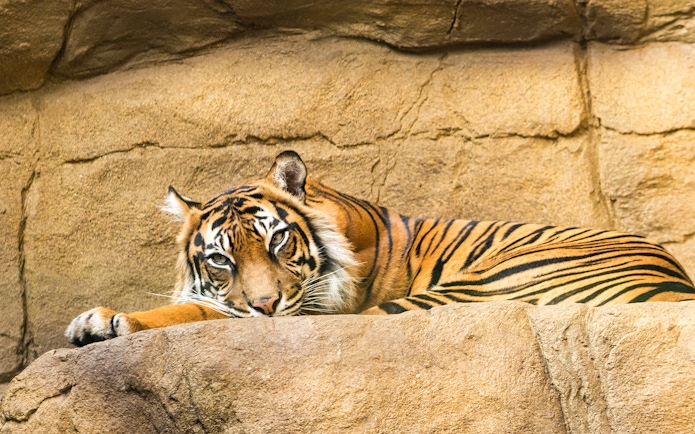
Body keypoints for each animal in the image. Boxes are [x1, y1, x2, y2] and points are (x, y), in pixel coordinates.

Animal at [66, 150, 695, 346]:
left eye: (277, 240)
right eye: (221, 258)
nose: (267, 305)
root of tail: (676, 282)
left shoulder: (314, 310)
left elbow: (202, 311)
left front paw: (106, 320)